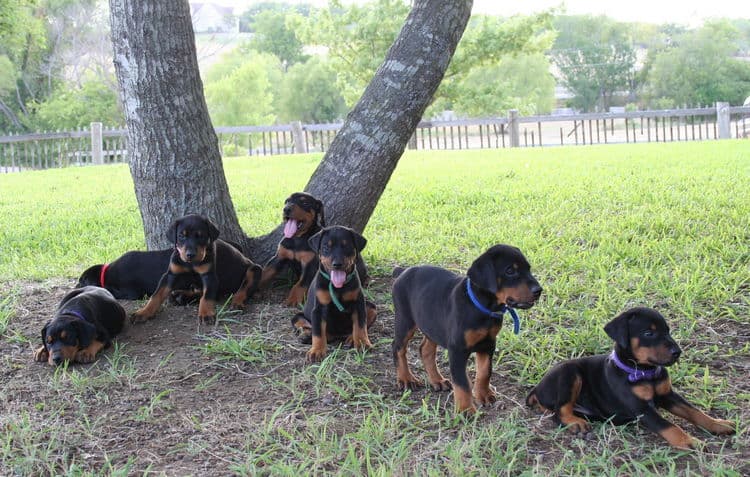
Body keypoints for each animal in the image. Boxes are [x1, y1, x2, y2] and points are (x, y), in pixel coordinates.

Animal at [131, 215, 264, 324]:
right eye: (181, 236)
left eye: (201, 236)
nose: (190, 254)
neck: (191, 264)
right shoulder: (170, 275)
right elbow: (156, 295)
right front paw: (143, 312)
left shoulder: (209, 276)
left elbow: (207, 296)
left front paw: (206, 314)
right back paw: (180, 295)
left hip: (254, 269)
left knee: (243, 289)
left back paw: (236, 302)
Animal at [294, 224, 376, 360]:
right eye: (326, 247)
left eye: (346, 246)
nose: (337, 264)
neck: (338, 287)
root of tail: (338, 335)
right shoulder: (318, 309)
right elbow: (318, 332)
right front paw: (316, 351)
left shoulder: (359, 304)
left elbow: (360, 326)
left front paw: (362, 343)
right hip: (298, 316)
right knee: (310, 327)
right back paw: (306, 336)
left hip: (371, 307)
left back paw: (351, 339)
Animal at [390, 245, 544, 412]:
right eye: (510, 271)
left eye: (528, 269)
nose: (539, 290)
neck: (482, 307)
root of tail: (403, 271)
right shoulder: (457, 349)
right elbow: (461, 383)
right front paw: (466, 410)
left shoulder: (488, 344)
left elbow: (484, 372)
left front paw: (483, 395)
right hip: (405, 320)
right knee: (398, 347)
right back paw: (406, 378)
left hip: (431, 323)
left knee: (425, 350)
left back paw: (437, 380)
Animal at [524, 306, 736, 448]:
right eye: (649, 333)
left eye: (667, 330)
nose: (677, 352)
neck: (644, 371)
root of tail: (536, 388)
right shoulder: (640, 408)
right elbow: (668, 425)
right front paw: (690, 441)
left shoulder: (667, 395)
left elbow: (694, 412)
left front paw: (718, 424)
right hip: (569, 372)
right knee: (559, 412)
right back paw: (575, 423)